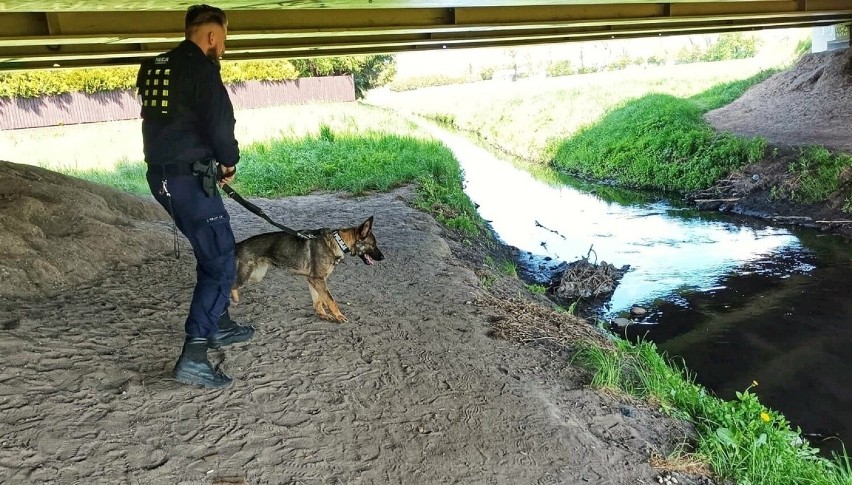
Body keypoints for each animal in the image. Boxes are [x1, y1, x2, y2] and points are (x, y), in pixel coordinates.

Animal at [230, 216, 382, 322]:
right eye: (373, 245)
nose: (383, 257)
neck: (338, 241)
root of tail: (238, 244)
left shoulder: (314, 280)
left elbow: (318, 300)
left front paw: (322, 314)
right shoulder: (318, 280)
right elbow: (330, 300)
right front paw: (338, 315)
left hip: (256, 276)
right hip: (246, 276)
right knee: (229, 285)